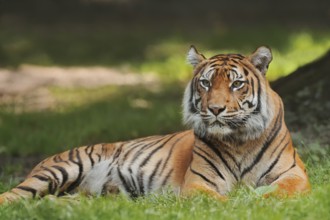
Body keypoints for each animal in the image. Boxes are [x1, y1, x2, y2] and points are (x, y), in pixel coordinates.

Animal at [0, 45, 310, 205]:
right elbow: (222, 201)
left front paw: (260, 198)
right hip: (61, 169)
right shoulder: (198, 183)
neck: (239, 140)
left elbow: (283, 190)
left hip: (84, 197)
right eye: (206, 83)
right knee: (13, 195)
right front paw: (242, 202)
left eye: (236, 84)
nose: (215, 109)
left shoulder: (295, 173)